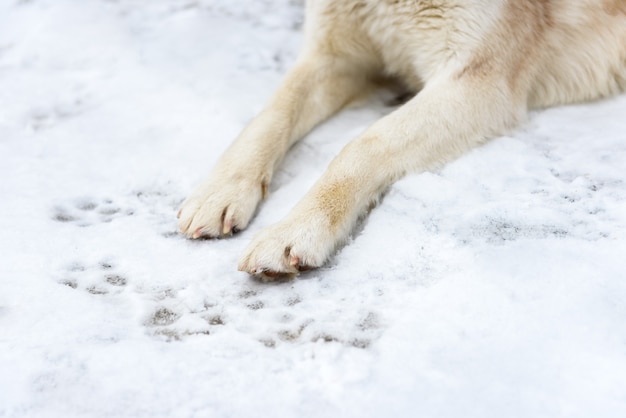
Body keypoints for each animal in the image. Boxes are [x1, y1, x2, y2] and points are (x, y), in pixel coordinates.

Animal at [174, 0, 624, 280]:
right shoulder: (332, 57)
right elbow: (270, 116)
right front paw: (221, 191)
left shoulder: (477, 84)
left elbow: (361, 145)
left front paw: (297, 228)